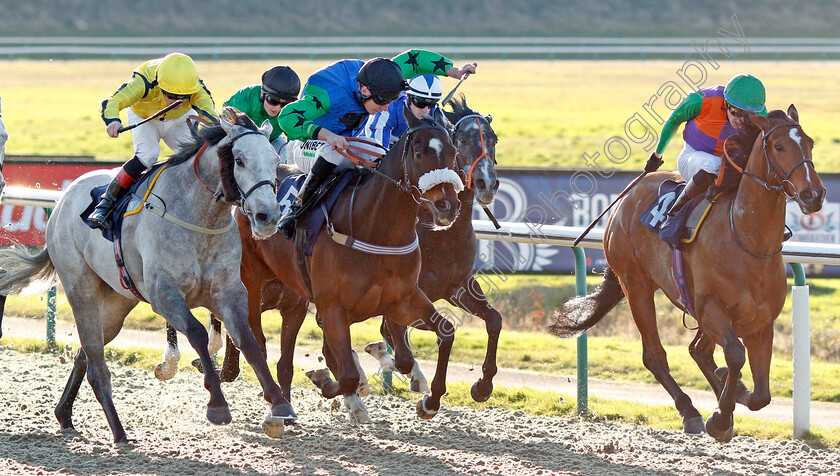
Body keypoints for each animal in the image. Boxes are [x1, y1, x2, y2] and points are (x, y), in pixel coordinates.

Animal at [0, 108, 296, 442]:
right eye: (240, 160)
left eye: (275, 160)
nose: (267, 216)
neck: (199, 217)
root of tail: (63, 198)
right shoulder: (164, 294)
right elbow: (196, 333)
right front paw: (218, 405)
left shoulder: (229, 292)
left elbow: (249, 341)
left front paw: (279, 404)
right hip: (81, 289)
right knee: (97, 365)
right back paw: (119, 433)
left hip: (116, 304)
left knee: (85, 353)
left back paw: (64, 413)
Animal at [552, 104, 828, 442]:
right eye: (779, 146)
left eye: (810, 143)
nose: (813, 194)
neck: (747, 239)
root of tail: (624, 200)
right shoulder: (711, 307)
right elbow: (735, 355)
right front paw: (721, 416)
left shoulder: (761, 321)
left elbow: (761, 394)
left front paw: (732, 396)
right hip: (637, 285)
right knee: (655, 355)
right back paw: (691, 411)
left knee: (698, 350)